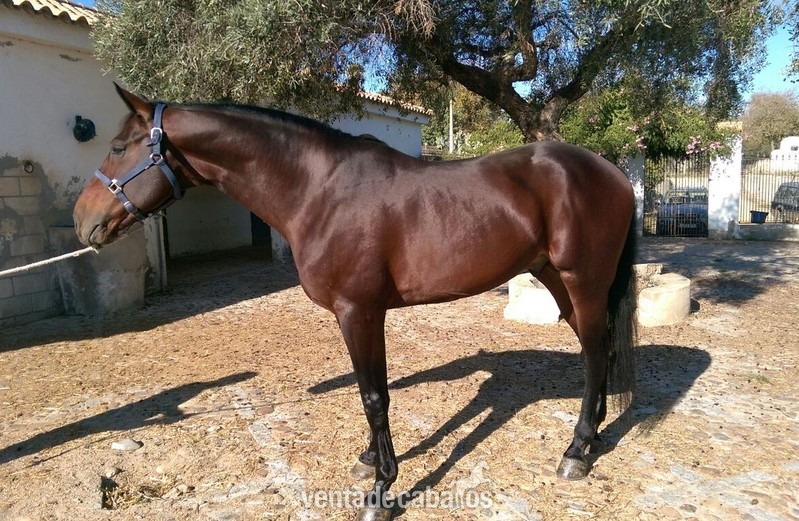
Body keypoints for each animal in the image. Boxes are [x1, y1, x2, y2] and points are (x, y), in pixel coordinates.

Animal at [73, 84, 637, 521]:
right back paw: (594, 438)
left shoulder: (358, 311)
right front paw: (370, 460)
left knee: (594, 353)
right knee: (599, 349)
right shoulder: (365, 314)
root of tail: (611, 172)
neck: (318, 191)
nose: (83, 222)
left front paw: (382, 491)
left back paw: (575, 450)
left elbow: (373, 397)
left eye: (119, 147)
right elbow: (375, 392)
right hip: (559, 281)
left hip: (582, 280)